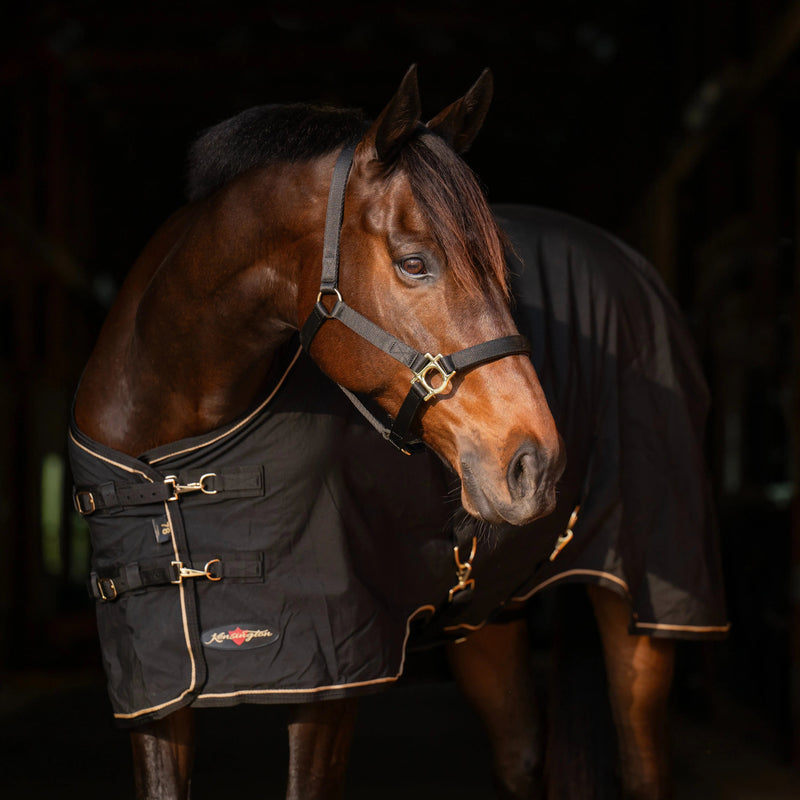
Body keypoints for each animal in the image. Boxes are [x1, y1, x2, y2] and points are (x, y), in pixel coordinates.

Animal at [69, 66, 727, 799]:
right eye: (414, 262)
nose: (536, 464)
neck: (174, 460)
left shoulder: (332, 676)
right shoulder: (154, 692)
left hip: (643, 603)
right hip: (488, 617)